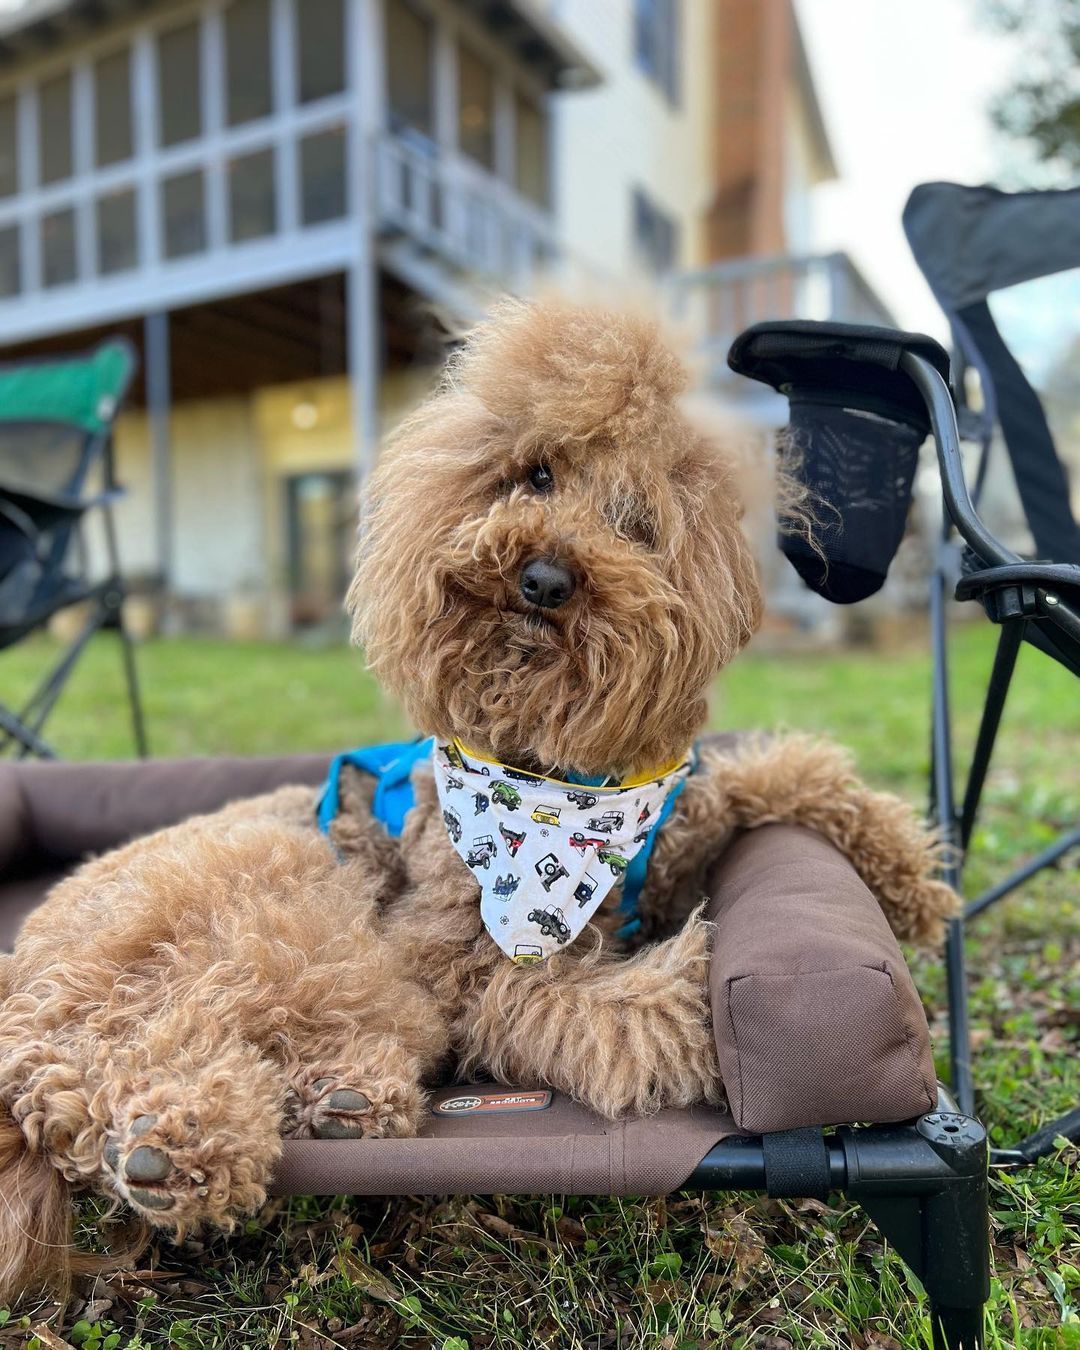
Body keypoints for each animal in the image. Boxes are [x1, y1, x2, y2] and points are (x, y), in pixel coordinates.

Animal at [0, 295, 955, 1306]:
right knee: (112, 1047)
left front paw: (908, 881)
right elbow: (578, 1008)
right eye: (534, 475)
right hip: (281, 906)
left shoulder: (664, 839)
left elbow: (771, 779)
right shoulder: (452, 961)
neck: (547, 780)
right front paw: (689, 1012)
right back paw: (176, 1145)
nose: (543, 578)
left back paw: (332, 1103)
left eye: (634, 519)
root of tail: (25, 969)